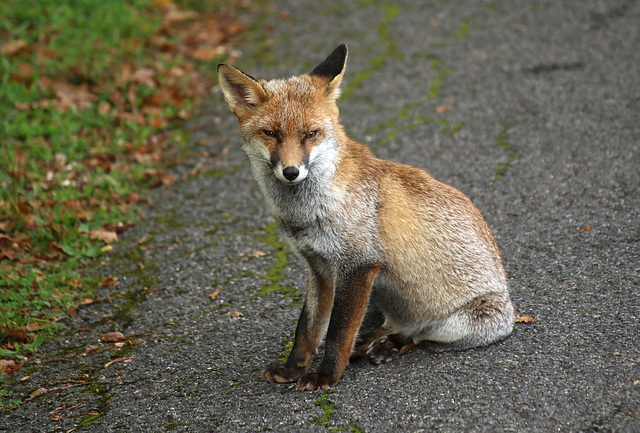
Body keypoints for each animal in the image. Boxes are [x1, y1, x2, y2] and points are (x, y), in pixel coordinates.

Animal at [218, 44, 512, 392]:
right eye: (271, 133)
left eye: (310, 134)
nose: (291, 172)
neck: (308, 212)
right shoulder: (319, 268)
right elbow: (307, 330)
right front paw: (293, 370)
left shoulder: (359, 265)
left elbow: (337, 332)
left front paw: (326, 376)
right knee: (389, 325)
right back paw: (370, 341)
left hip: (458, 322)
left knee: (417, 335)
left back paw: (387, 346)